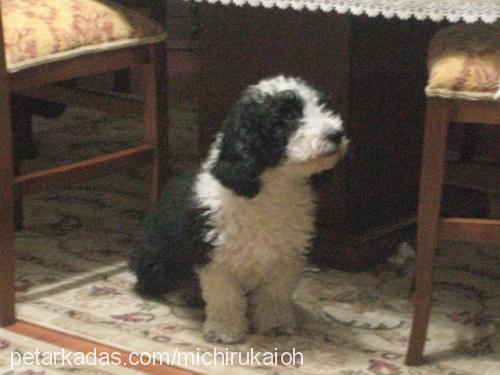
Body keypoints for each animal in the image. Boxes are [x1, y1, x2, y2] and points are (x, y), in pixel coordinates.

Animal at [129, 75, 348, 344]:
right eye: (287, 117)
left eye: (323, 106)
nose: (336, 134)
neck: (268, 191)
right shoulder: (215, 259)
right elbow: (225, 299)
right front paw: (225, 330)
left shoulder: (284, 258)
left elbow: (274, 295)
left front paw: (276, 324)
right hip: (154, 257)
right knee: (152, 282)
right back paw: (181, 293)